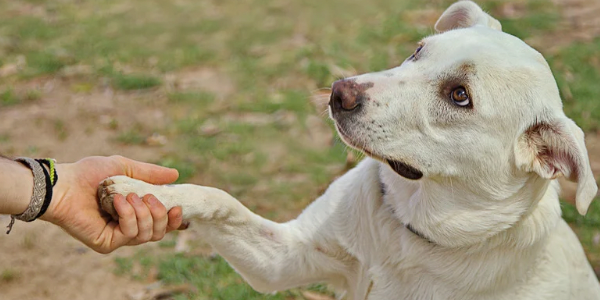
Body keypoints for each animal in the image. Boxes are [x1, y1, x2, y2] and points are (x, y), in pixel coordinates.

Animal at [98, 1, 600, 298]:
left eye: (460, 96)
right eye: (418, 51)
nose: (340, 92)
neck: (408, 233)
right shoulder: (284, 260)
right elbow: (220, 199)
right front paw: (145, 192)